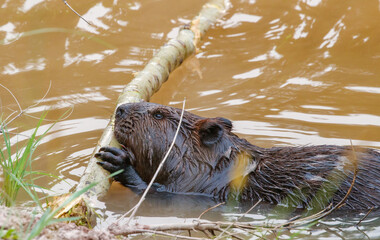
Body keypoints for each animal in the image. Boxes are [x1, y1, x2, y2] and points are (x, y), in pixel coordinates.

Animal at [95, 102, 380, 209]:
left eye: (158, 114)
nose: (120, 108)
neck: (222, 167)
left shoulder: (196, 187)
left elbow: (158, 192)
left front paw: (116, 159)